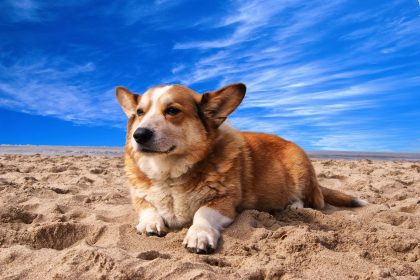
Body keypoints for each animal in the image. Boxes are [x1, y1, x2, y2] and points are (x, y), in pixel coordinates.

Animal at [115, 82, 368, 254]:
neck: (169, 172)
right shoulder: (139, 196)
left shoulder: (224, 203)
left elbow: (202, 213)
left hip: (300, 169)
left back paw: (294, 206)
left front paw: (198, 235)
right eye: (140, 113)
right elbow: (148, 208)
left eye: (172, 111)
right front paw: (150, 223)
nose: (139, 135)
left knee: (309, 199)